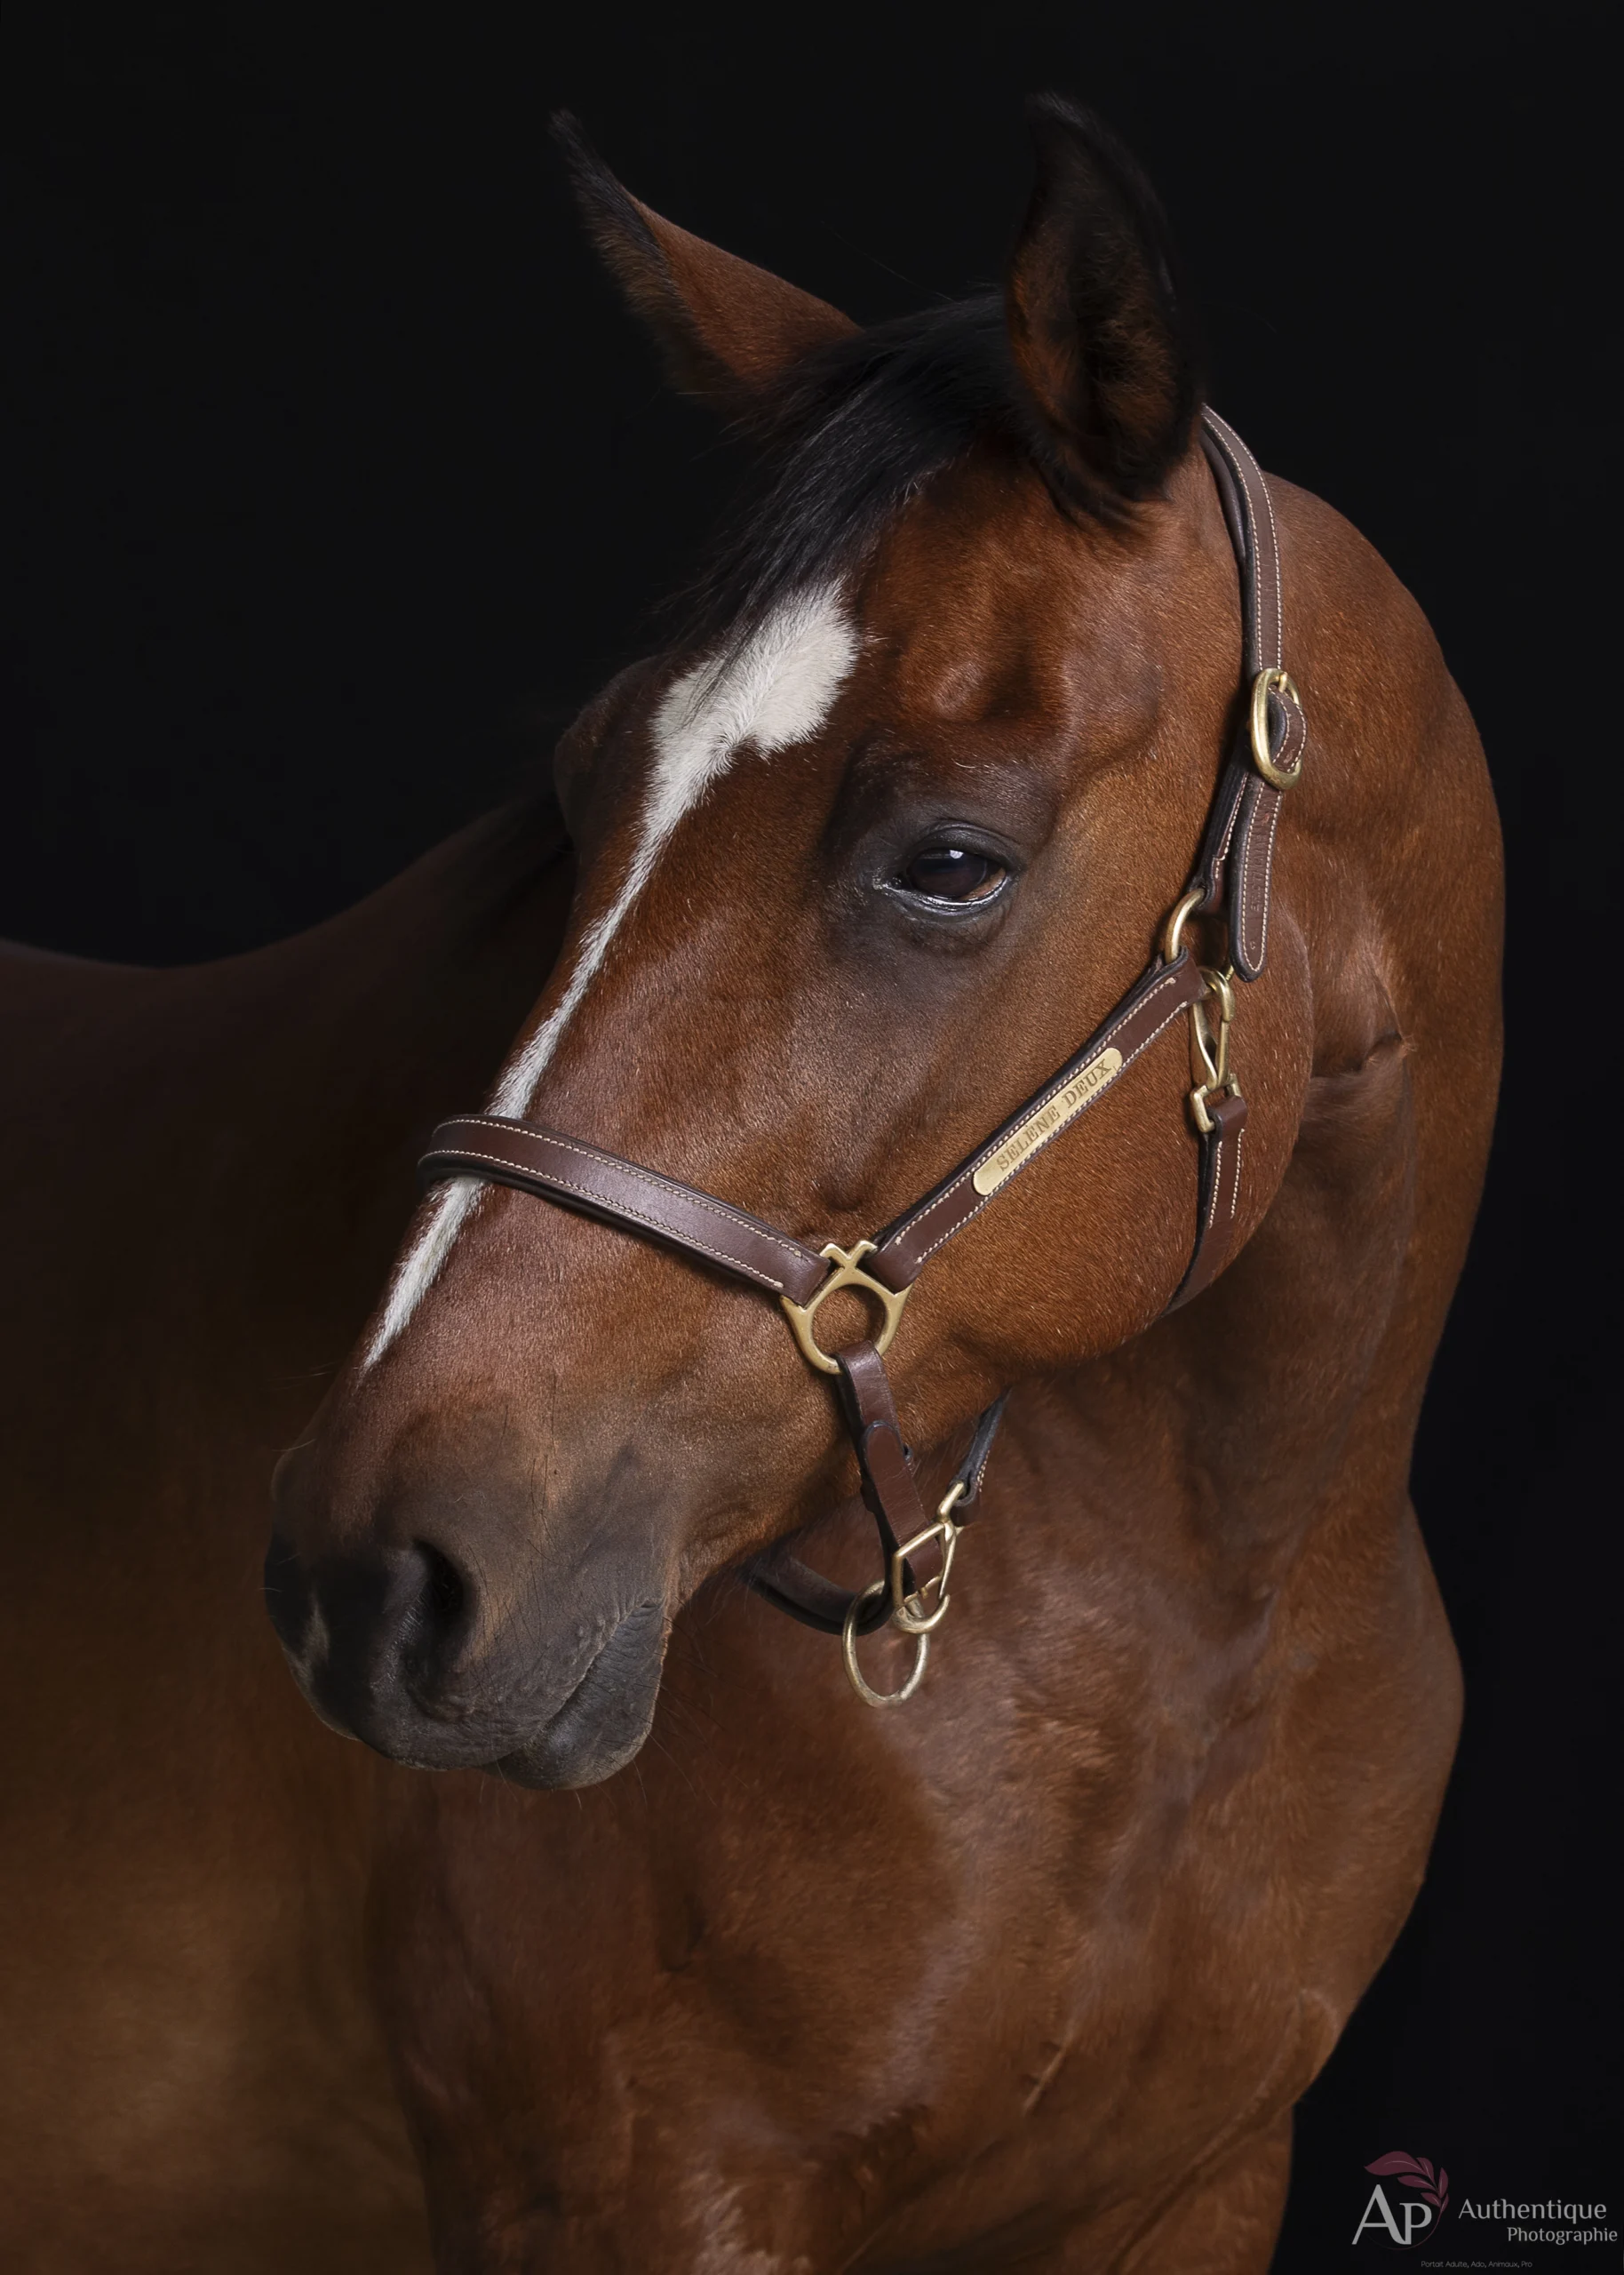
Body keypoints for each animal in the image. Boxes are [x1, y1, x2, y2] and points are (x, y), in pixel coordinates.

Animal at [1, 99, 1501, 2272]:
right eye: (580, 786)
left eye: (949, 859)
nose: (370, 1567)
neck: (1197, 1627)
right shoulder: (644, 2195)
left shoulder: (1203, 2186)